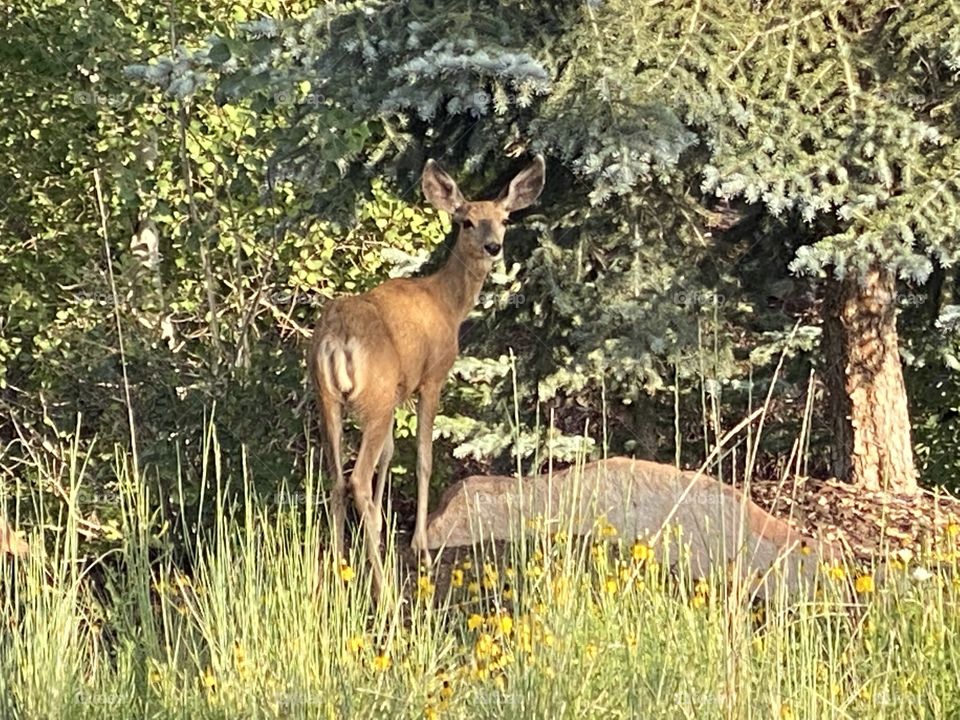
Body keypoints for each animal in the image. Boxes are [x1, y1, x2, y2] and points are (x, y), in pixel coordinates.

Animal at [309, 155, 546, 595]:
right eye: (466, 221)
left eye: (504, 218)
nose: (493, 246)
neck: (447, 303)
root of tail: (339, 337)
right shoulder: (432, 379)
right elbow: (423, 457)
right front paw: (419, 542)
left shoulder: (399, 391)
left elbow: (389, 454)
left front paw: (383, 529)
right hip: (375, 397)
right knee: (356, 480)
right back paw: (383, 587)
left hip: (328, 398)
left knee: (335, 477)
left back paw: (337, 568)